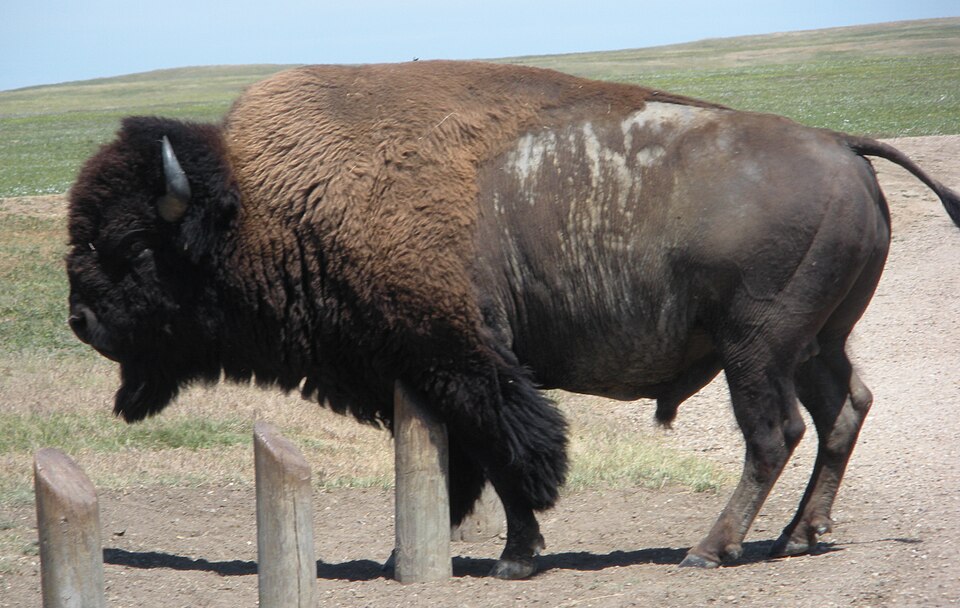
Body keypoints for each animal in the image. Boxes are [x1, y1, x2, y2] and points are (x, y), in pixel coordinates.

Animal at [66, 61, 960, 578]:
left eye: (134, 247)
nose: (80, 319)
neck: (263, 204)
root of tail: (842, 145)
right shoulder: (435, 372)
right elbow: (477, 467)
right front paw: (432, 552)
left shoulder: (465, 362)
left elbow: (509, 455)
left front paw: (512, 559)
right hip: (817, 343)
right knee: (844, 410)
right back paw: (798, 537)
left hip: (757, 348)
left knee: (775, 435)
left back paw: (709, 550)